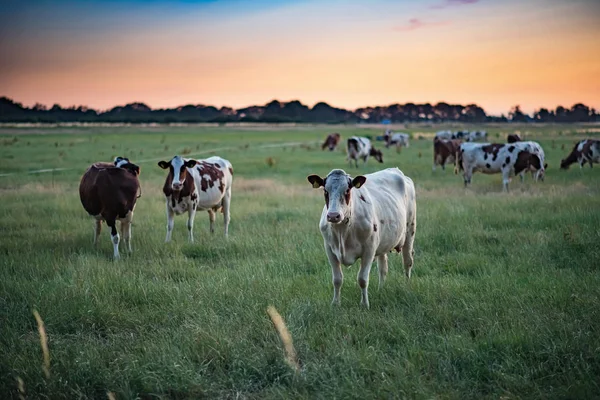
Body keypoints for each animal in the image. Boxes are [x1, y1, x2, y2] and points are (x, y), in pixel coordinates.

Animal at [308, 167, 414, 308]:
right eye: (326, 191)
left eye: (347, 190)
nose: (333, 215)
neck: (342, 230)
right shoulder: (329, 249)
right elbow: (337, 279)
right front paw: (335, 303)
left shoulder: (369, 250)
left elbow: (362, 279)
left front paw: (364, 304)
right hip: (383, 242)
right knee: (383, 267)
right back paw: (381, 289)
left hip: (410, 230)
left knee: (407, 261)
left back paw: (407, 287)